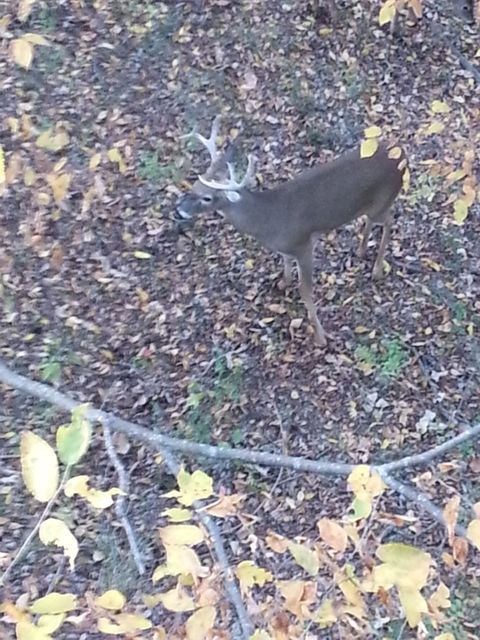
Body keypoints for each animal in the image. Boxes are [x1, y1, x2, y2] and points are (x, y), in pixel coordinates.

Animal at [176, 115, 404, 344]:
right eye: (194, 185)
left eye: (207, 198)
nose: (179, 210)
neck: (267, 220)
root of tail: (401, 154)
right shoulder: (286, 247)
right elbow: (285, 263)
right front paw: (283, 283)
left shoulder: (304, 245)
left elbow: (306, 291)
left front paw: (320, 337)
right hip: (370, 207)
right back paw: (361, 249)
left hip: (382, 202)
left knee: (390, 221)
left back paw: (376, 270)